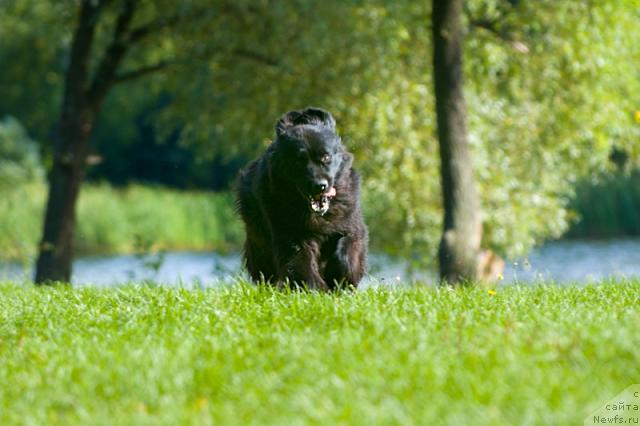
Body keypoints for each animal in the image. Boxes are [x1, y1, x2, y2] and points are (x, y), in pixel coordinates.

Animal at [236, 108, 368, 292]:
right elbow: (301, 262)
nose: (319, 185)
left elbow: (347, 251)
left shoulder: (351, 225)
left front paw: (341, 278)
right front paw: (314, 290)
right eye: (299, 161)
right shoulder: (291, 235)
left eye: (325, 157)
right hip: (259, 238)